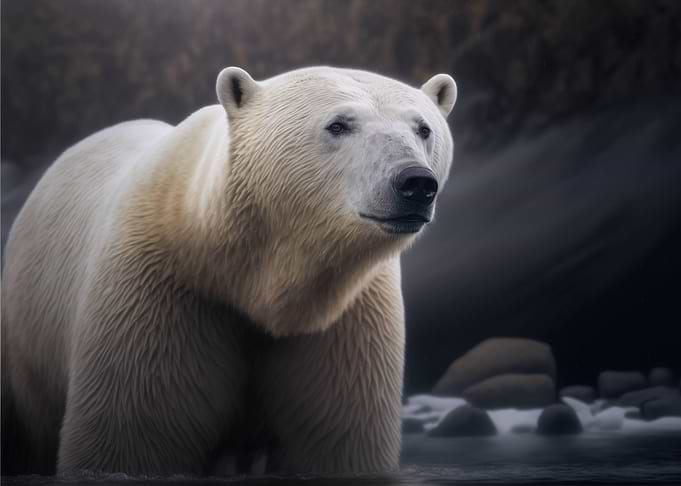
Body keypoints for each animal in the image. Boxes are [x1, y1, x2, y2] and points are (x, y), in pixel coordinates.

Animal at [1, 66, 456, 476]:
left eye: (423, 128)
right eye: (338, 124)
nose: (415, 182)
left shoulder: (345, 315)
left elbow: (341, 434)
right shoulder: (161, 290)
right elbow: (135, 435)